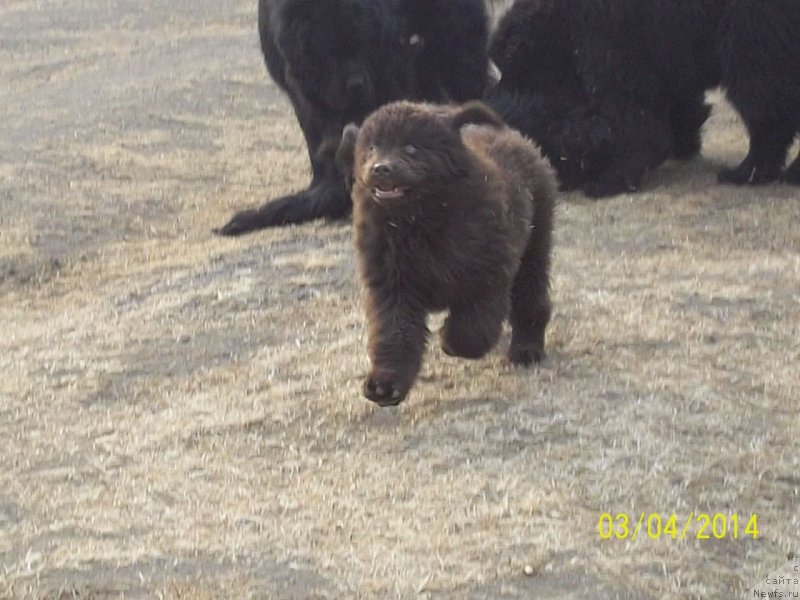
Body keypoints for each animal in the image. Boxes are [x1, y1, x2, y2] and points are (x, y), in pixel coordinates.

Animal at [338, 101, 556, 406]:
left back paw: (526, 349)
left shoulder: (488, 273)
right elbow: (394, 334)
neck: (420, 223)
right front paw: (385, 385)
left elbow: (472, 329)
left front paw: (449, 341)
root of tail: (513, 135)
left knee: (530, 299)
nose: (380, 168)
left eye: (412, 148)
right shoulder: (392, 285)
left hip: (535, 247)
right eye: (372, 148)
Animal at [488, 0, 800, 197]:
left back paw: (749, 172)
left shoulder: (607, 50)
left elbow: (636, 128)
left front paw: (611, 181)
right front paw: (683, 146)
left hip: (753, 43)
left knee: (768, 114)